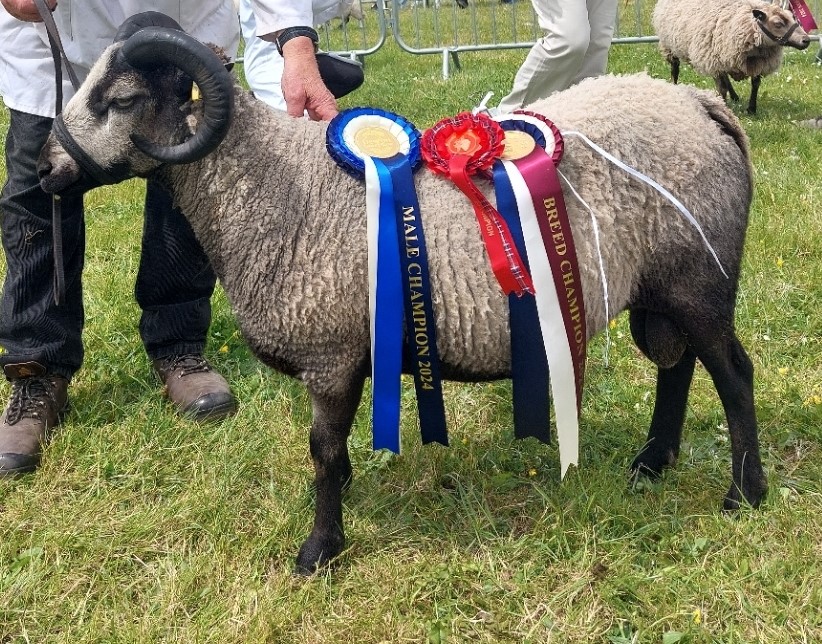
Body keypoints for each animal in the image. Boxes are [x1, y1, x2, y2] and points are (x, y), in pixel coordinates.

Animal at [37, 23, 768, 574]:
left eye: (122, 98)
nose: (45, 169)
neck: (273, 184)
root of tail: (699, 104)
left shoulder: (329, 356)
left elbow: (321, 450)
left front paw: (320, 549)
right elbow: (332, 451)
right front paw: (343, 500)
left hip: (699, 279)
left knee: (733, 374)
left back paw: (745, 494)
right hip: (664, 289)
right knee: (677, 366)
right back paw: (652, 464)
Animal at [652, 0, 811, 114]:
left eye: (794, 18)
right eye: (778, 23)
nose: (806, 40)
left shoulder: (757, 63)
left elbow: (755, 84)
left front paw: (751, 109)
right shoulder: (713, 61)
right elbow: (721, 88)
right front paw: (723, 106)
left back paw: (734, 96)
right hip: (669, 45)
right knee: (675, 68)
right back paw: (674, 85)